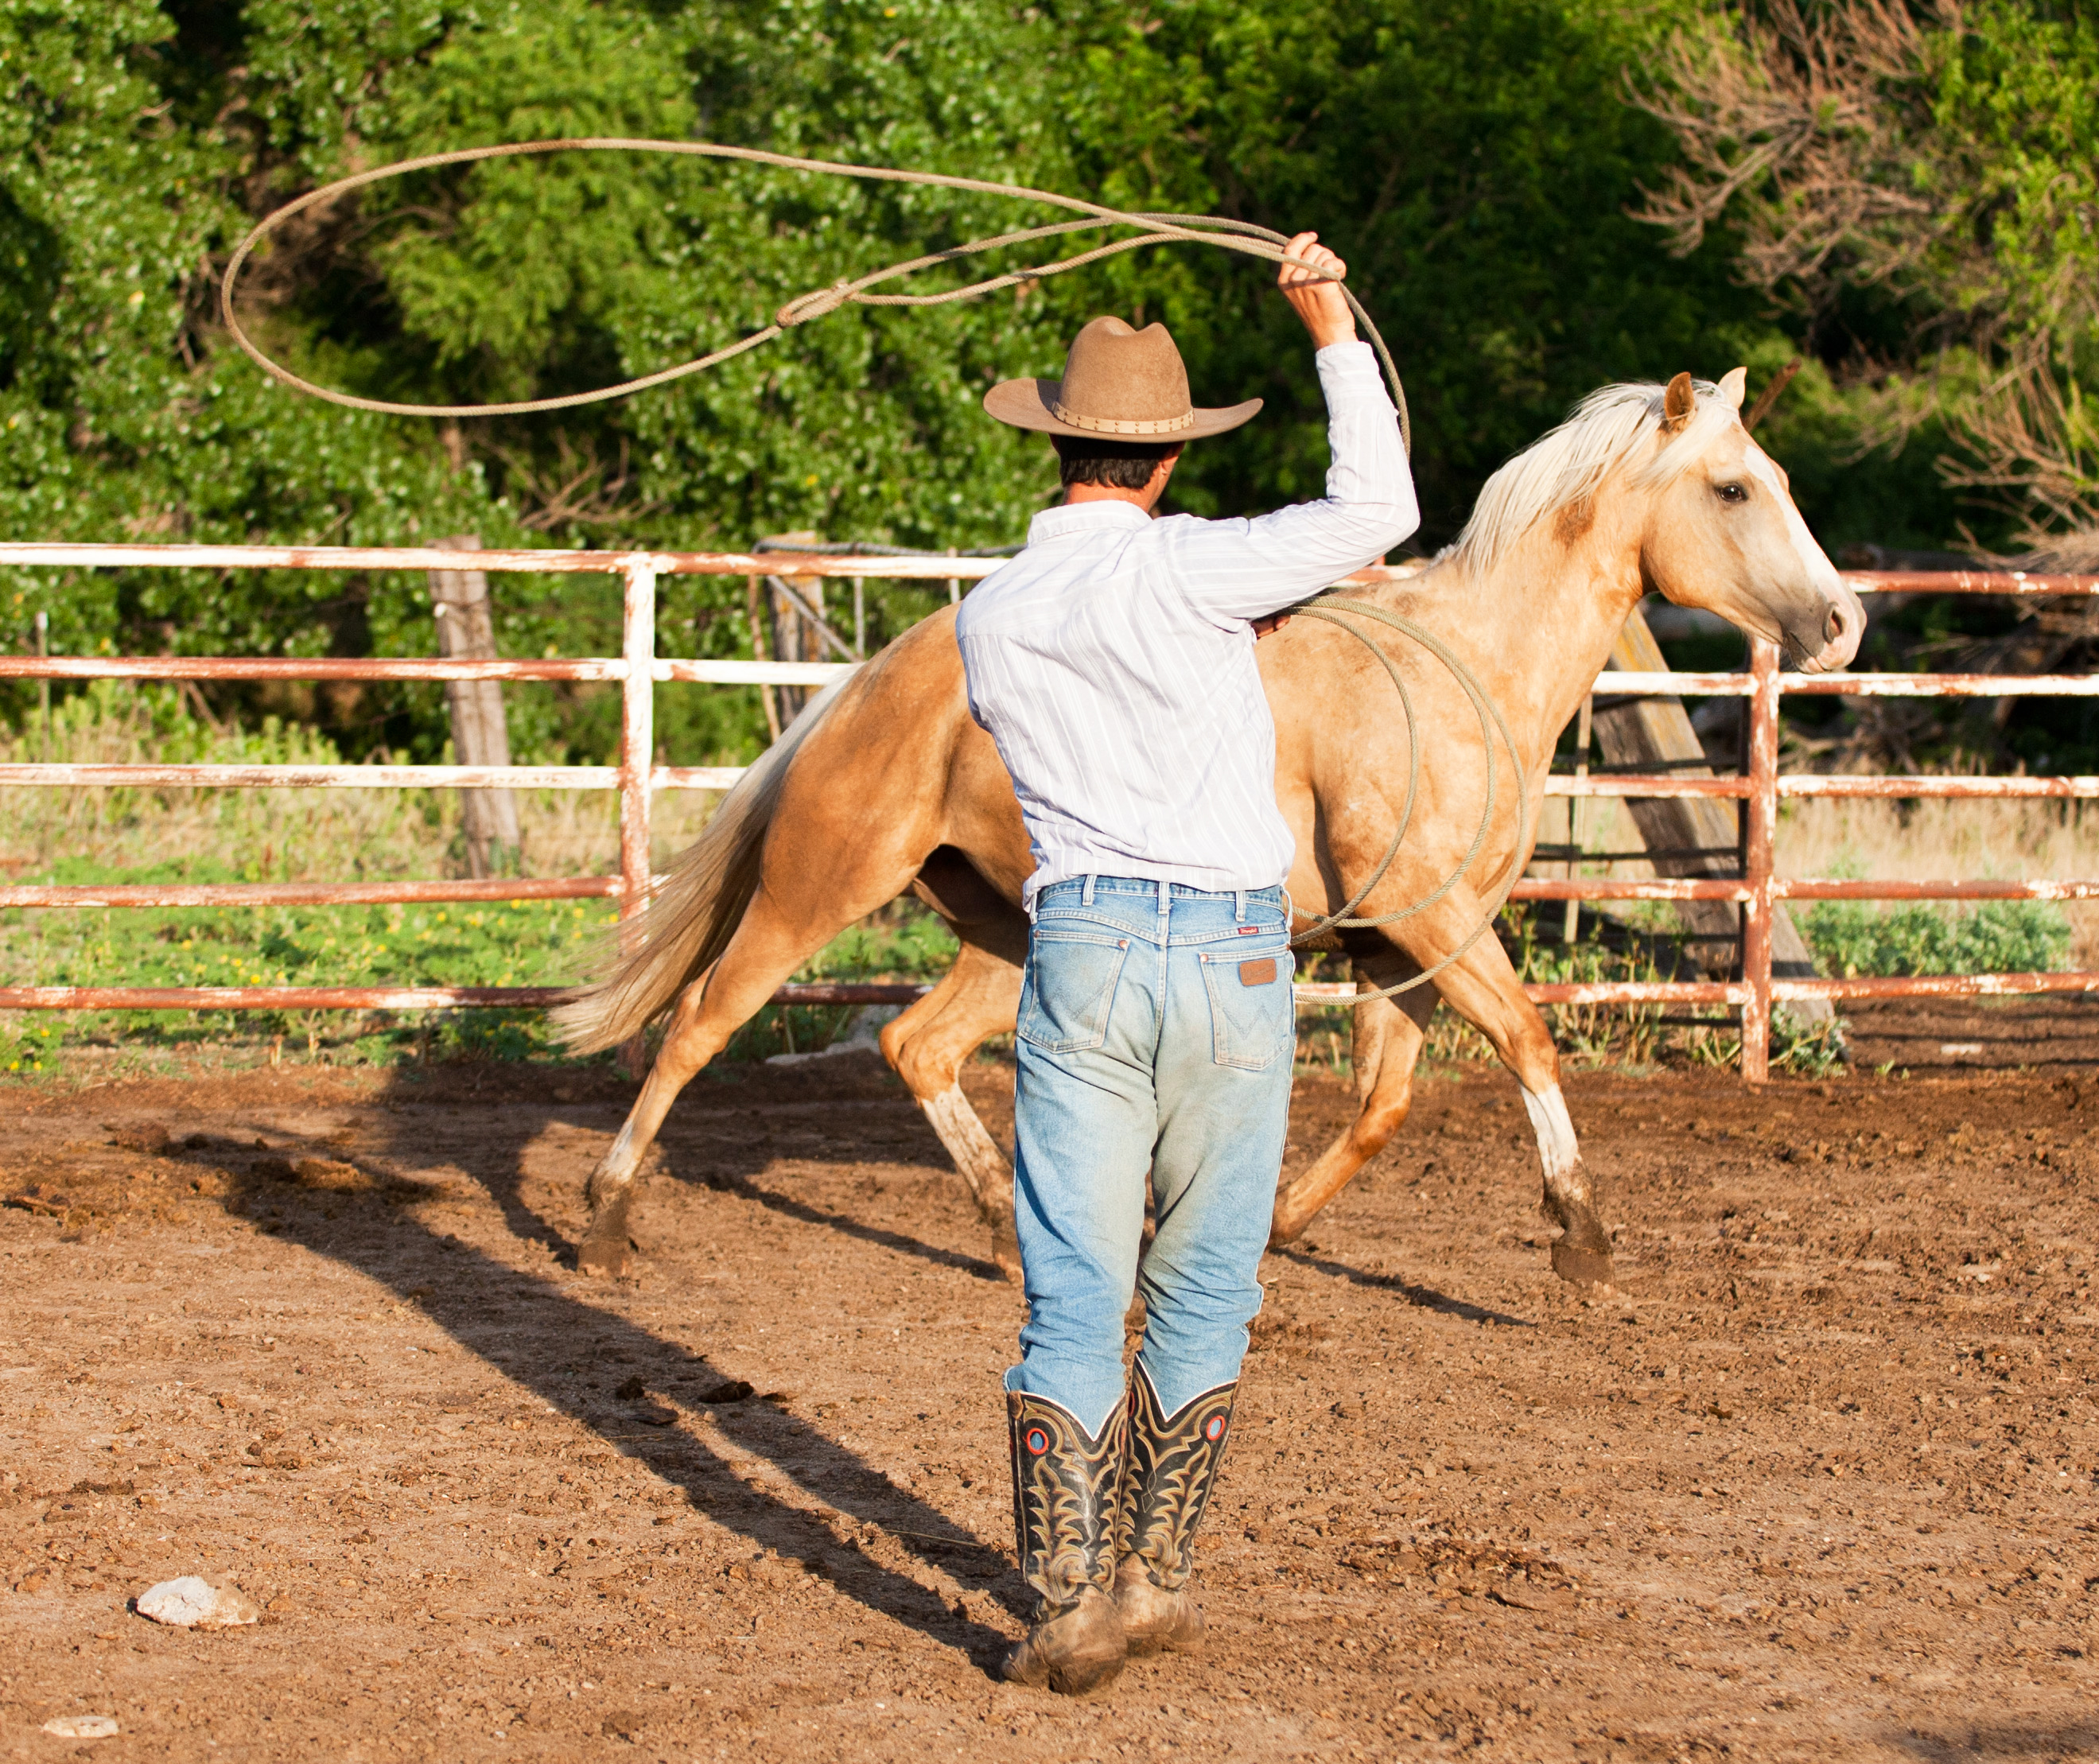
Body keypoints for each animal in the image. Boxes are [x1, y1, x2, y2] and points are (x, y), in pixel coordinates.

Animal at [554, 371, 1855, 1284]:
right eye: (1731, 488)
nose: (1840, 622)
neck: (1469, 667)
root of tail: (867, 680)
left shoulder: (1400, 949)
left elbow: (1382, 1106)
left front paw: (1265, 1225)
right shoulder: (1433, 921)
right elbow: (1529, 1042)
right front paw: (1579, 1235)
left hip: (1008, 933)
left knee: (916, 1044)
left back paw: (1005, 1228)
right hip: (815, 890)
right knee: (697, 1026)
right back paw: (607, 1218)